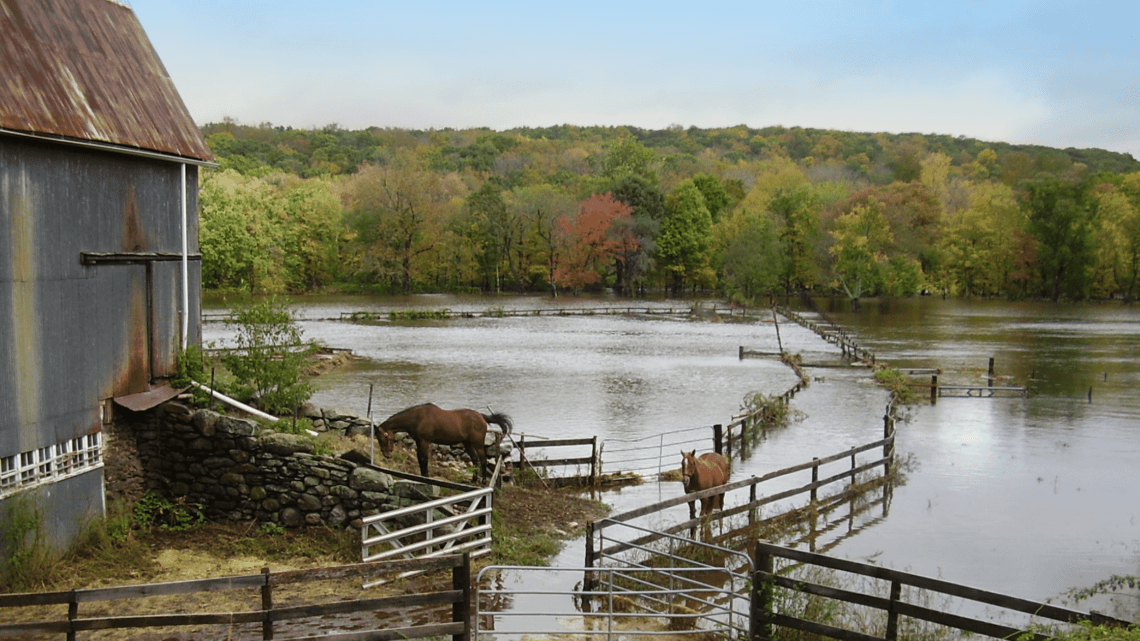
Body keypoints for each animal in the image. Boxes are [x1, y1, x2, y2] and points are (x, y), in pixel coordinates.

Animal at [373, 401, 513, 476]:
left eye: (383, 438)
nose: (386, 455)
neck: (418, 418)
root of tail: (482, 416)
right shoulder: (419, 442)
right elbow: (420, 459)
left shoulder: (425, 442)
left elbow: (424, 459)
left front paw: (426, 477)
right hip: (467, 443)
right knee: (475, 461)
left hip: (477, 444)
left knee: (483, 461)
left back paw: (483, 481)